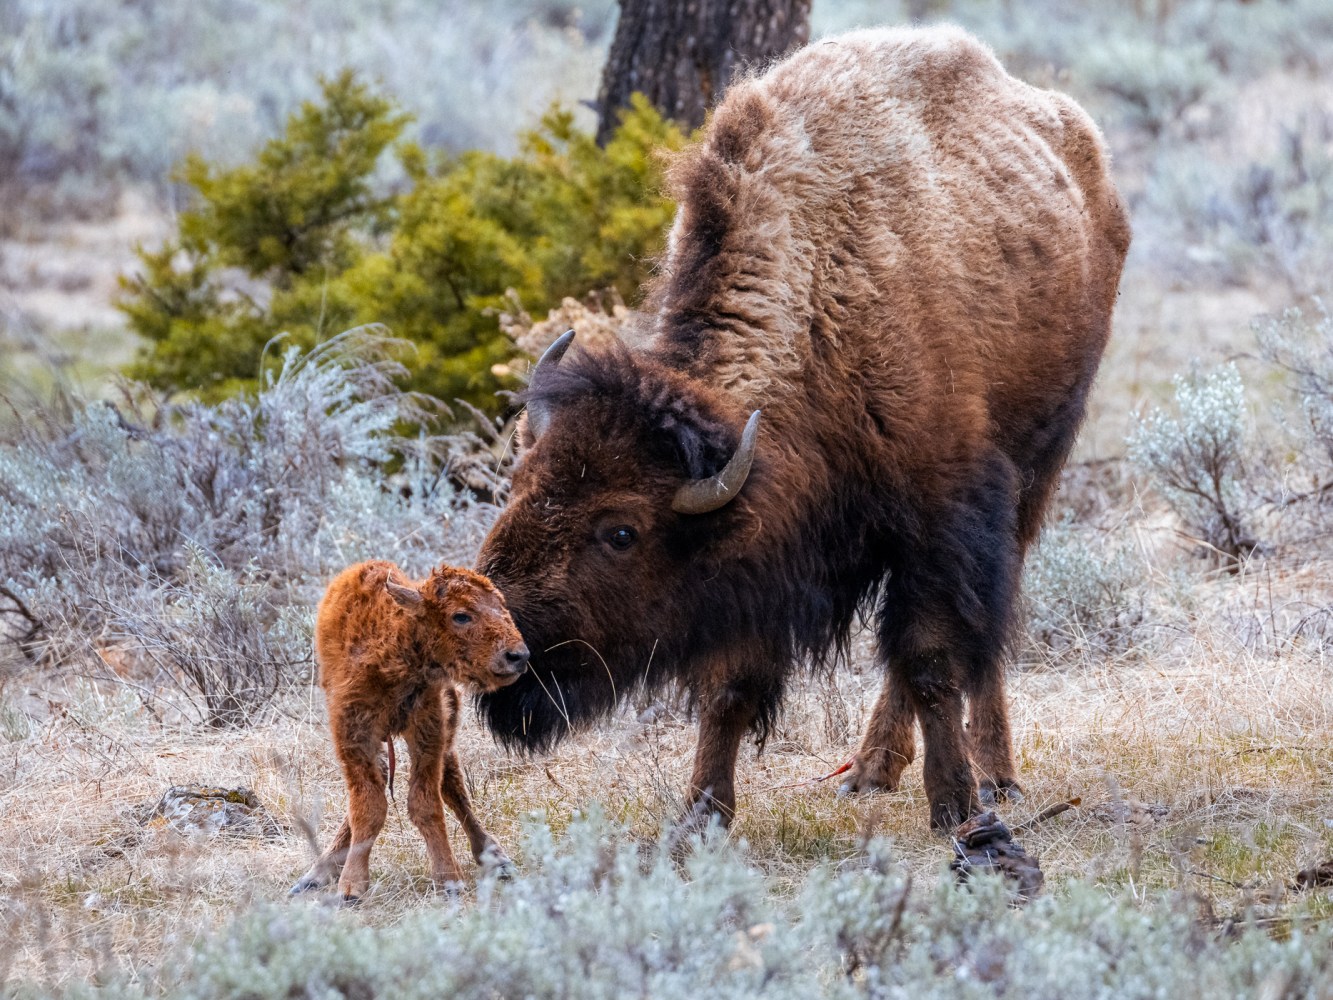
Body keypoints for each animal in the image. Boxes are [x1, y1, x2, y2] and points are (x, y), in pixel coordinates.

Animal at [290, 560, 525, 906]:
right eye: (461, 615)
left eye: (501, 607)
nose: (518, 656)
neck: (395, 641)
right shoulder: (353, 734)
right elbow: (368, 806)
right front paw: (351, 886)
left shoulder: (428, 727)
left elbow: (425, 802)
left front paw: (449, 880)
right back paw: (317, 873)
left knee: (453, 787)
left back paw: (497, 858)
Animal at [474, 27, 1130, 832]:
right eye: (516, 485)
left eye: (620, 531)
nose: (507, 649)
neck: (827, 293)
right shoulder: (757, 560)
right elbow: (729, 689)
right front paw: (701, 815)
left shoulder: (943, 518)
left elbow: (932, 661)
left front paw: (954, 805)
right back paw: (871, 773)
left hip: (1039, 466)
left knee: (984, 634)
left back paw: (990, 774)